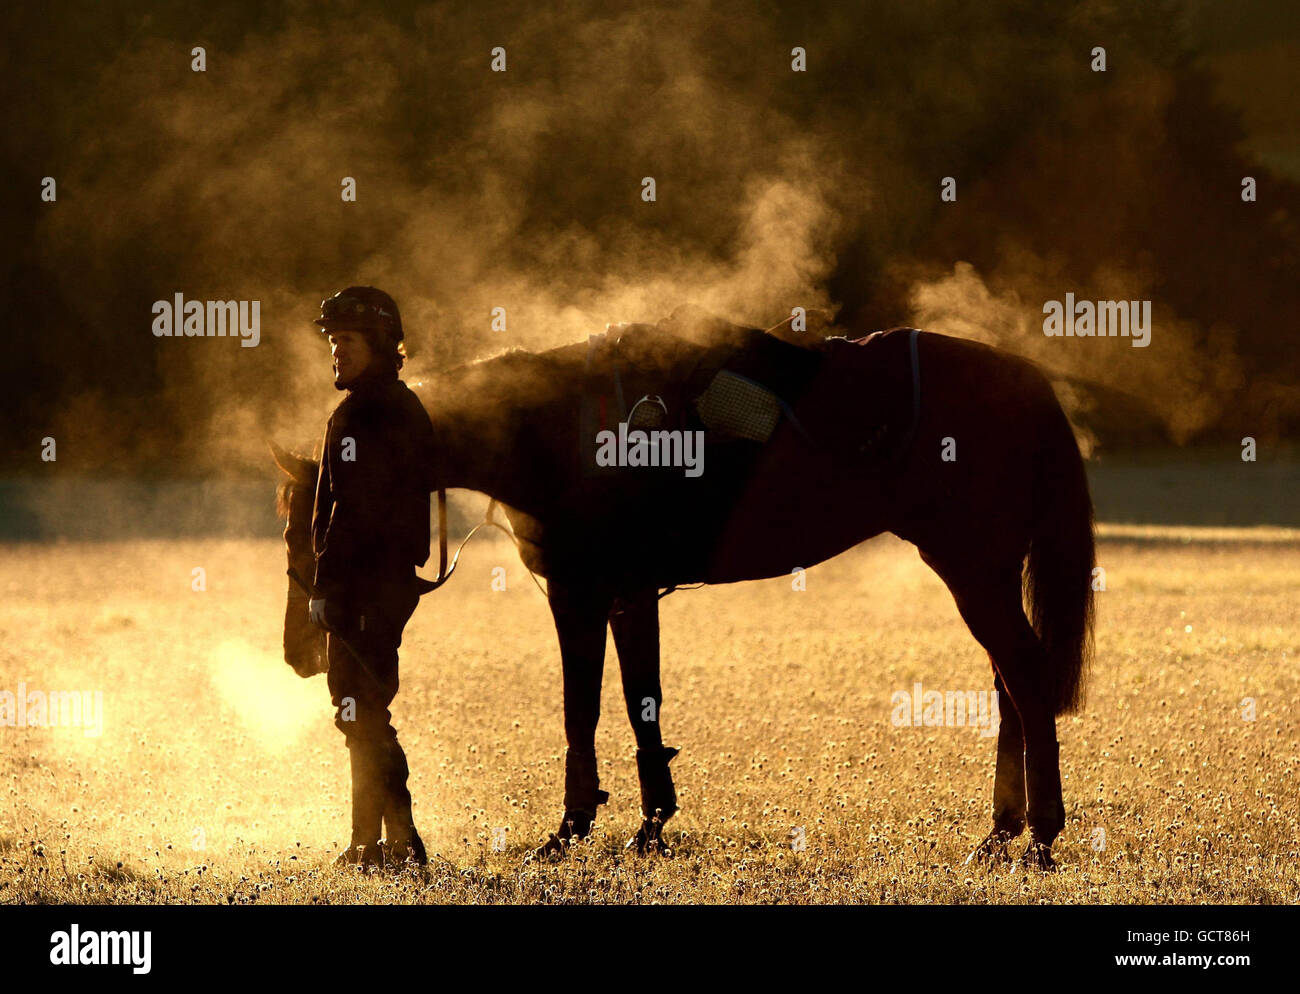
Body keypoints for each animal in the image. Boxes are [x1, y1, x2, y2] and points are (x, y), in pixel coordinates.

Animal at [269, 314, 1092, 862]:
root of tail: (1026, 378)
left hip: (973, 569)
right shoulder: (628, 598)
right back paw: (1003, 832)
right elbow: (642, 710)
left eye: (307, 526)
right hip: (983, 572)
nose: (301, 650)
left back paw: (1038, 836)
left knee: (1024, 679)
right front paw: (649, 823)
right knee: (1011, 687)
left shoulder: (580, 595)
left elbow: (581, 712)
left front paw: (570, 830)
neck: (552, 428)